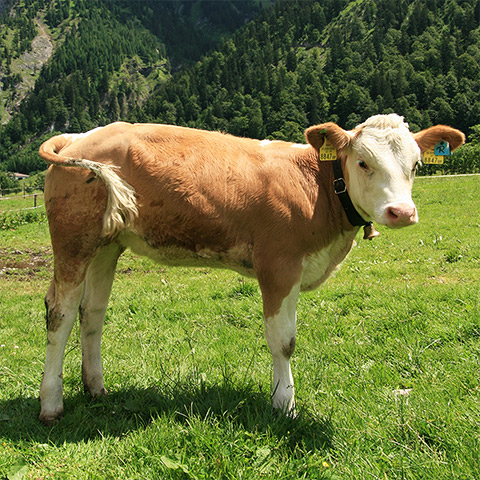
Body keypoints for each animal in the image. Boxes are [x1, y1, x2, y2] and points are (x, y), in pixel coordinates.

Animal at [37, 114, 464, 422]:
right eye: (363, 162)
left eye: (416, 165)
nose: (402, 212)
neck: (319, 187)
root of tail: (80, 134)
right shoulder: (278, 266)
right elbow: (283, 341)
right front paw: (284, 405)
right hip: (73, 240)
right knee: (60, 313)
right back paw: (51, 405)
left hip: (107, 243)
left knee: (91, 313)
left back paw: (96, 388)